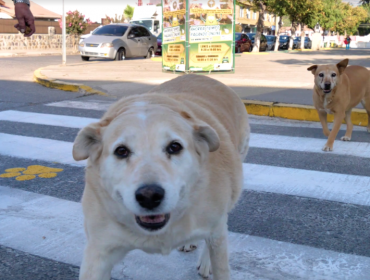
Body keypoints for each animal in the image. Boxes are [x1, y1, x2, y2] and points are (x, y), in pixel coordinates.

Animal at [72, 74, 250, 280]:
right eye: (121, 151)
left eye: (174, 147)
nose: (149, 196)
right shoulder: (98, 251)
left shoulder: (216, 229)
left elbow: (218, 254)